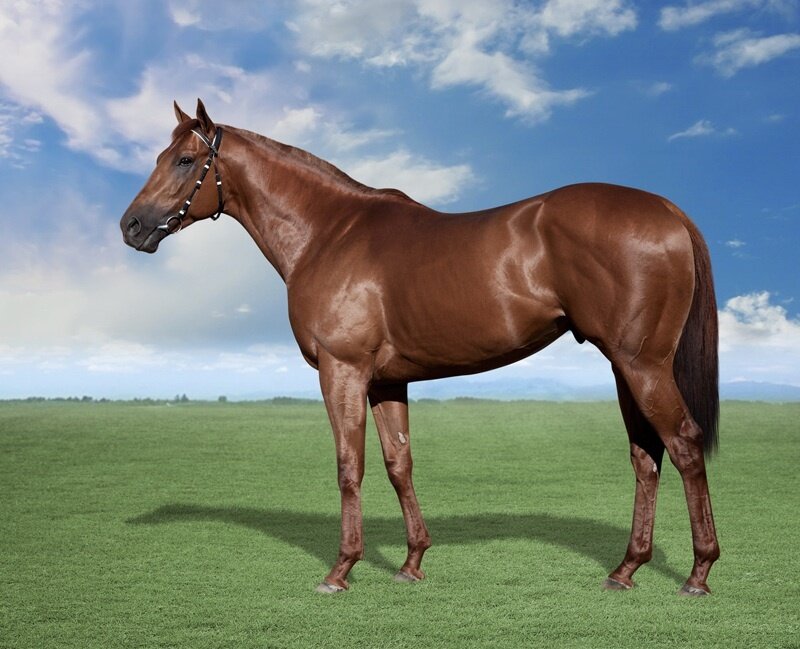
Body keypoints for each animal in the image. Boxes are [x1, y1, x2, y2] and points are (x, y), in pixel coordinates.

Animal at [121, 99, 720, 596]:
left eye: (185, 159)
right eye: (162, 155)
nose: (131, 226)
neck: (330, 233)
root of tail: (667, 210)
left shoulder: (342, 371)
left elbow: (350, 465)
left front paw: (340, 570)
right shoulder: (387, 382)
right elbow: (398, 463)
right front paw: (411, 563)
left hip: (642, 366)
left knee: (684, 445)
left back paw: (697, 573)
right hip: (625, 367)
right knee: (646, 456)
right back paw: (626, 569)